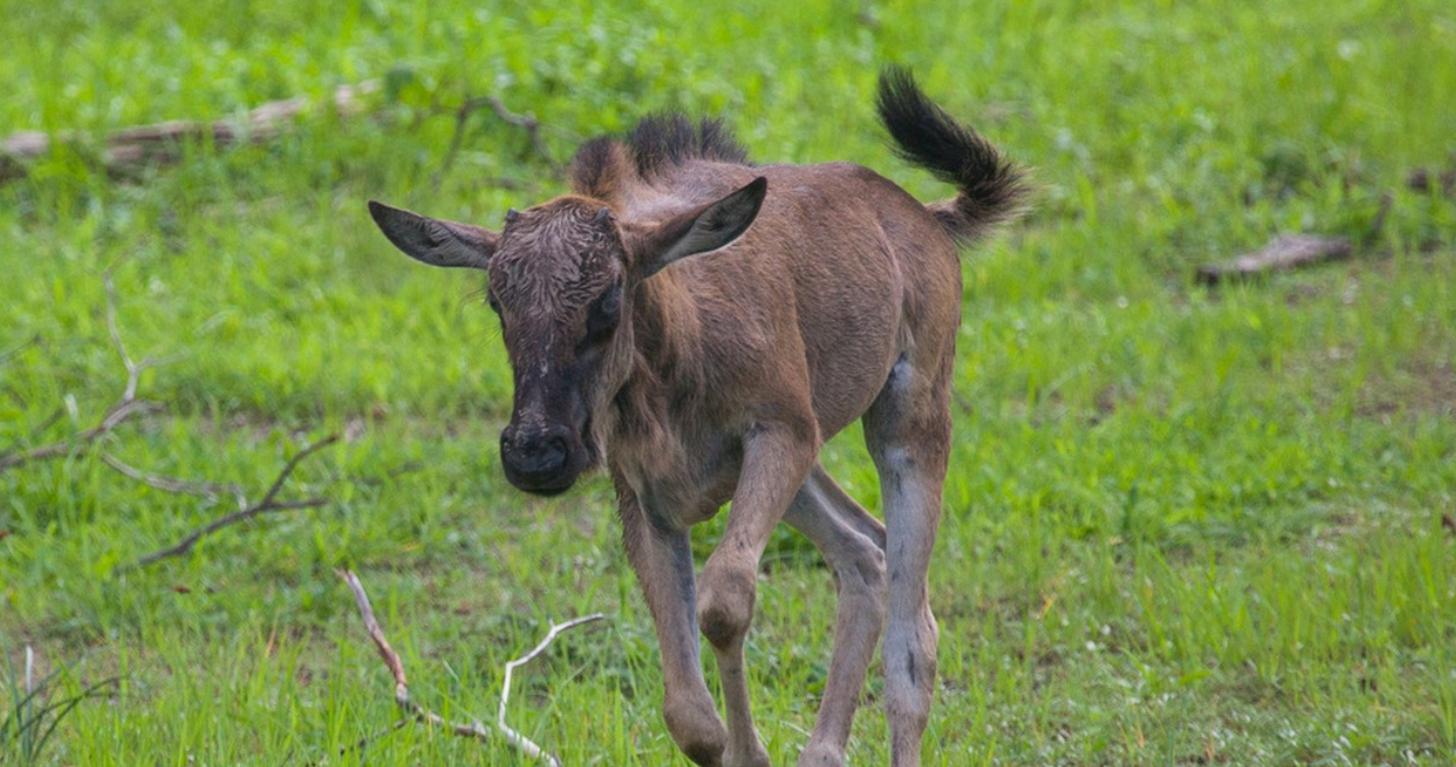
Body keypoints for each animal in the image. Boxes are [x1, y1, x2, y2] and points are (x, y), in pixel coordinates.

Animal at [364, 69, 1025, 762]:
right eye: (497, 300)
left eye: (608, 299)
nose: (536, 453)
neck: (673, 363)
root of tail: (928, 220)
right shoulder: (647, 498)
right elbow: (689, 717)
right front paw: (738, 747)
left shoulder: (781, 432)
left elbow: (725, 601)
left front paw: (754, 751)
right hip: (807, 474)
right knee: (865, 554)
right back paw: (821, 748)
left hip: (909, 421)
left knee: (913, 640)